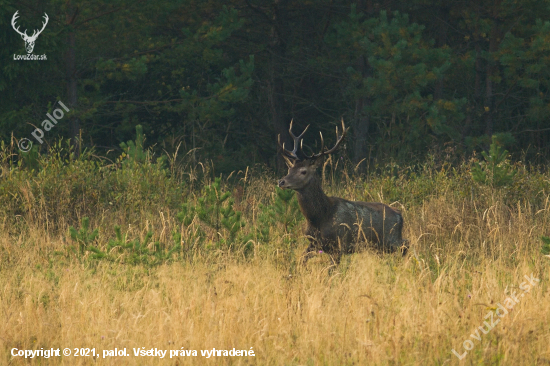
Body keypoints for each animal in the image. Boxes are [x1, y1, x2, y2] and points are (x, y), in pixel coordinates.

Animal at [278, 120, 408, 266]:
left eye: (303, 171)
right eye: (289, 169)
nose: (281, 181)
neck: (319, 218)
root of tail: (399, 215)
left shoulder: (340, 244)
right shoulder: (314, 243)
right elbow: (301, 260)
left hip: (391, 238)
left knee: (406, 245)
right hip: (380, 245)